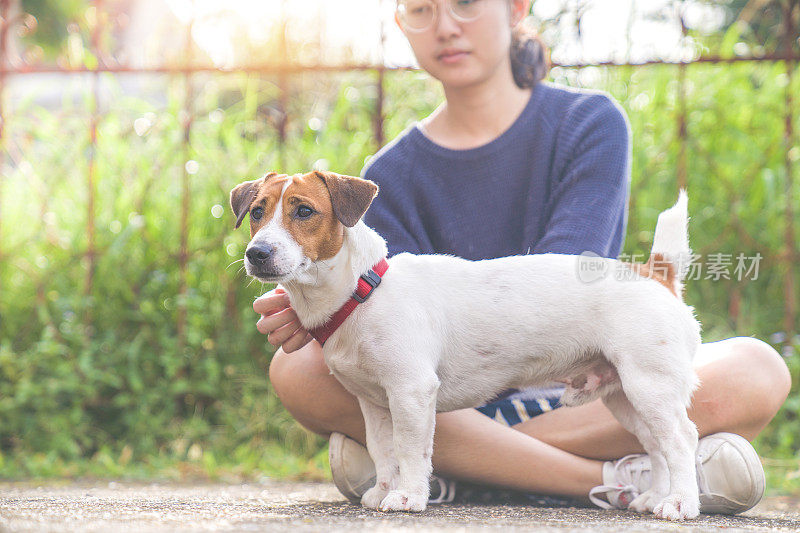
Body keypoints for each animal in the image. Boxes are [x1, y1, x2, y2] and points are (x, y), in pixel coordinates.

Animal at [230, 170, 700, 520]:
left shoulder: (412, 392)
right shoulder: (373, 403)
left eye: (304, 211)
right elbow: (384, 451)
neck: (362, 291)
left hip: (649, 386)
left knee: (682, 441)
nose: (257, 253)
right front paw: (383, 489)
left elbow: (410, 449)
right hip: (626, 396)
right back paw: (655, 497)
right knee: (656, 446)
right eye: (256, 212)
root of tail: (655, 274)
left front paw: (408, 496)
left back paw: (681, 503)